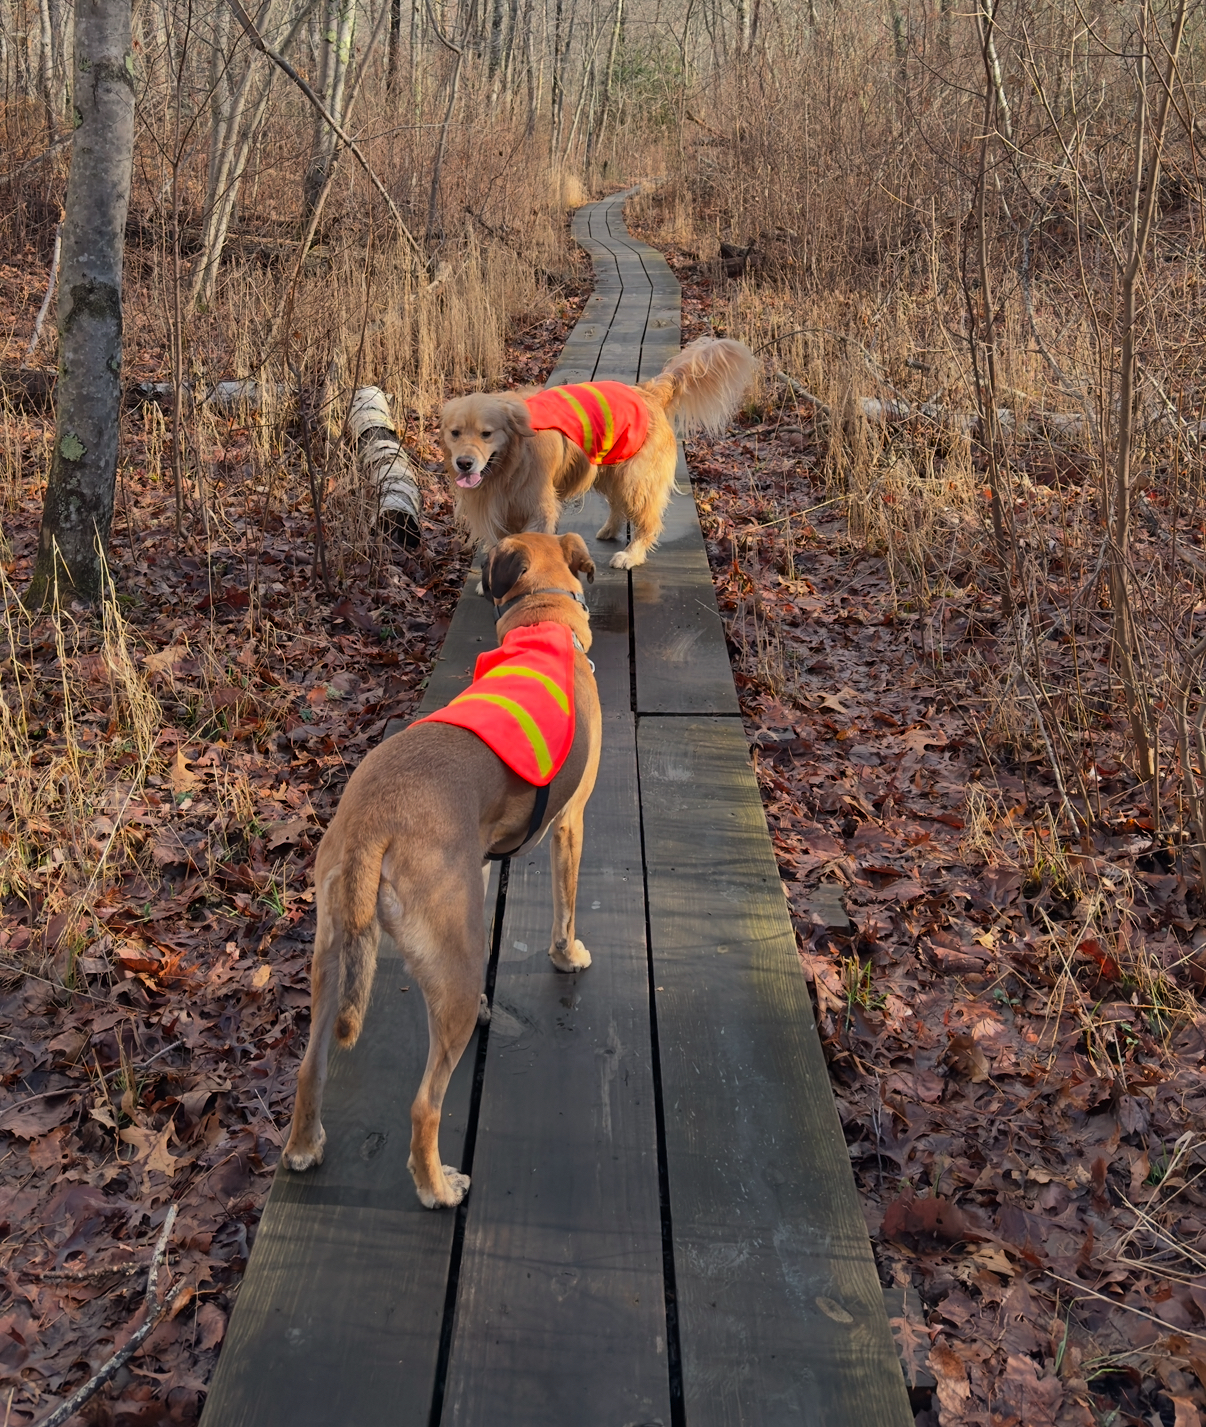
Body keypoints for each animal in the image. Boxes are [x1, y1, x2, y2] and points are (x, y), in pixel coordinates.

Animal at [284, 533, 602, 1204]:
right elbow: (565, 909)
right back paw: (438, 1186)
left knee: (309, 1067)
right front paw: (568, 955)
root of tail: (372, 824)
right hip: (451, 975)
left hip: (333, 957)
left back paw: (303, 1147)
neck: (542, 620)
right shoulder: (571, 823)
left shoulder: (479, 861)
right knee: (424, 1106)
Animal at [442, 336, 753, 570]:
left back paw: (631, 555)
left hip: (635, 479)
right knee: (618, 505)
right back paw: (609, 530)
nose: (464, 464)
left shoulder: (540, 507)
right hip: (610, 470)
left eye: (486, 433)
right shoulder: (498, 508)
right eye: (455, 433)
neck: (510, 463)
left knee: (647, 520)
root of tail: (647, 392)